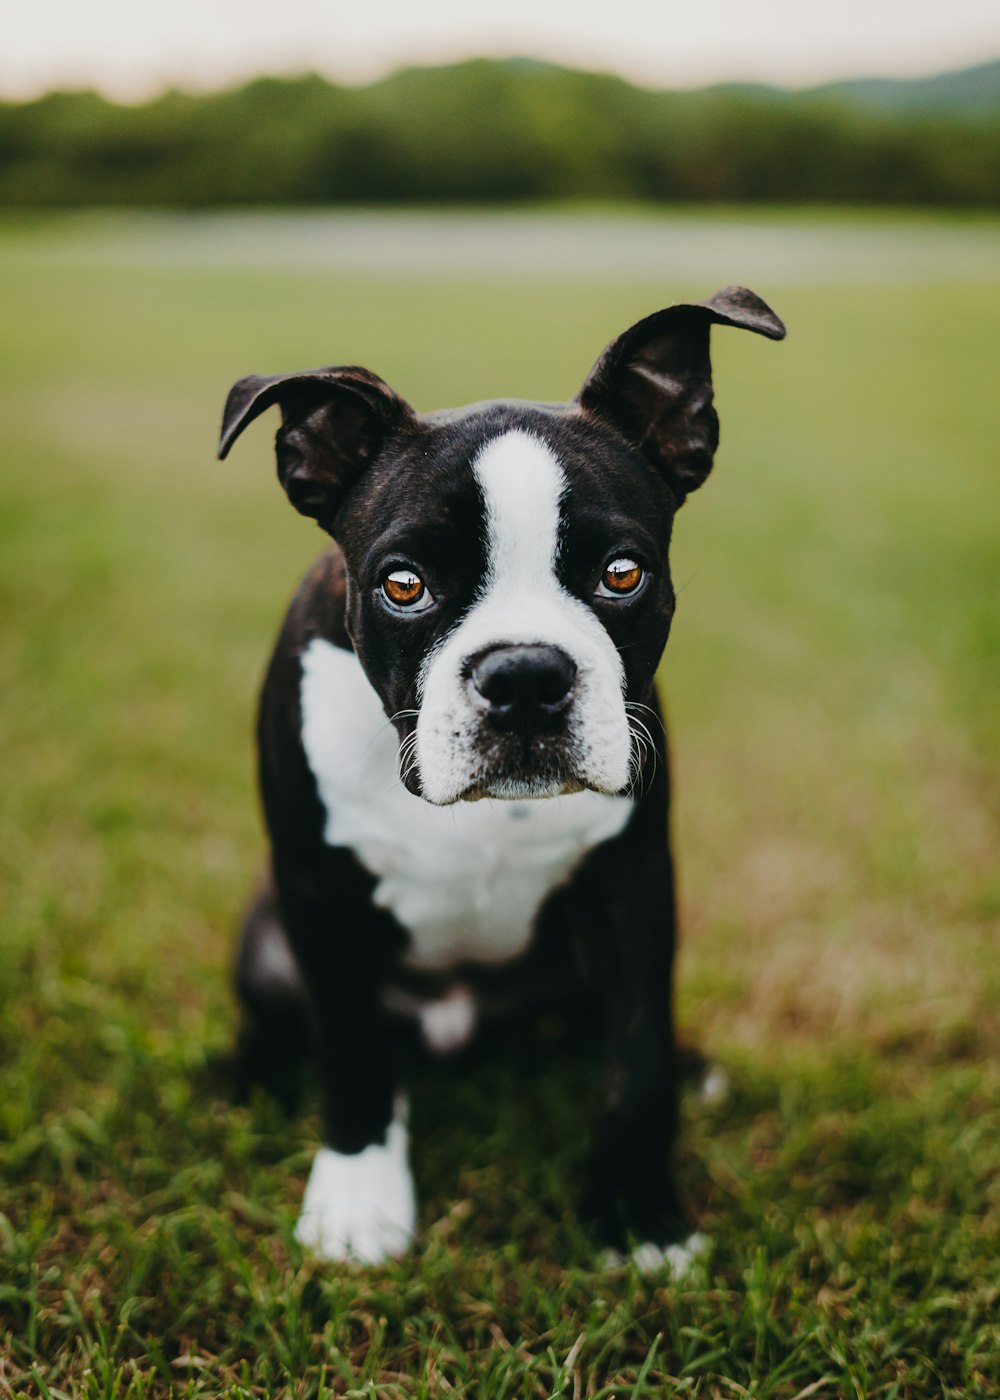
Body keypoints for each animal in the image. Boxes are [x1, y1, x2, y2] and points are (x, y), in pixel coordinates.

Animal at [219, 284, 784, 1271]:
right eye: (403, 585)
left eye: (624, 574)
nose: (524, 675)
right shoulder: (318, 892)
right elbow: (352, 1052)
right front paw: (359, 1200)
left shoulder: (632, 884)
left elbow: (635, 1057)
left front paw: (639, 1216)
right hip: (266, 938)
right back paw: (242, 1078)